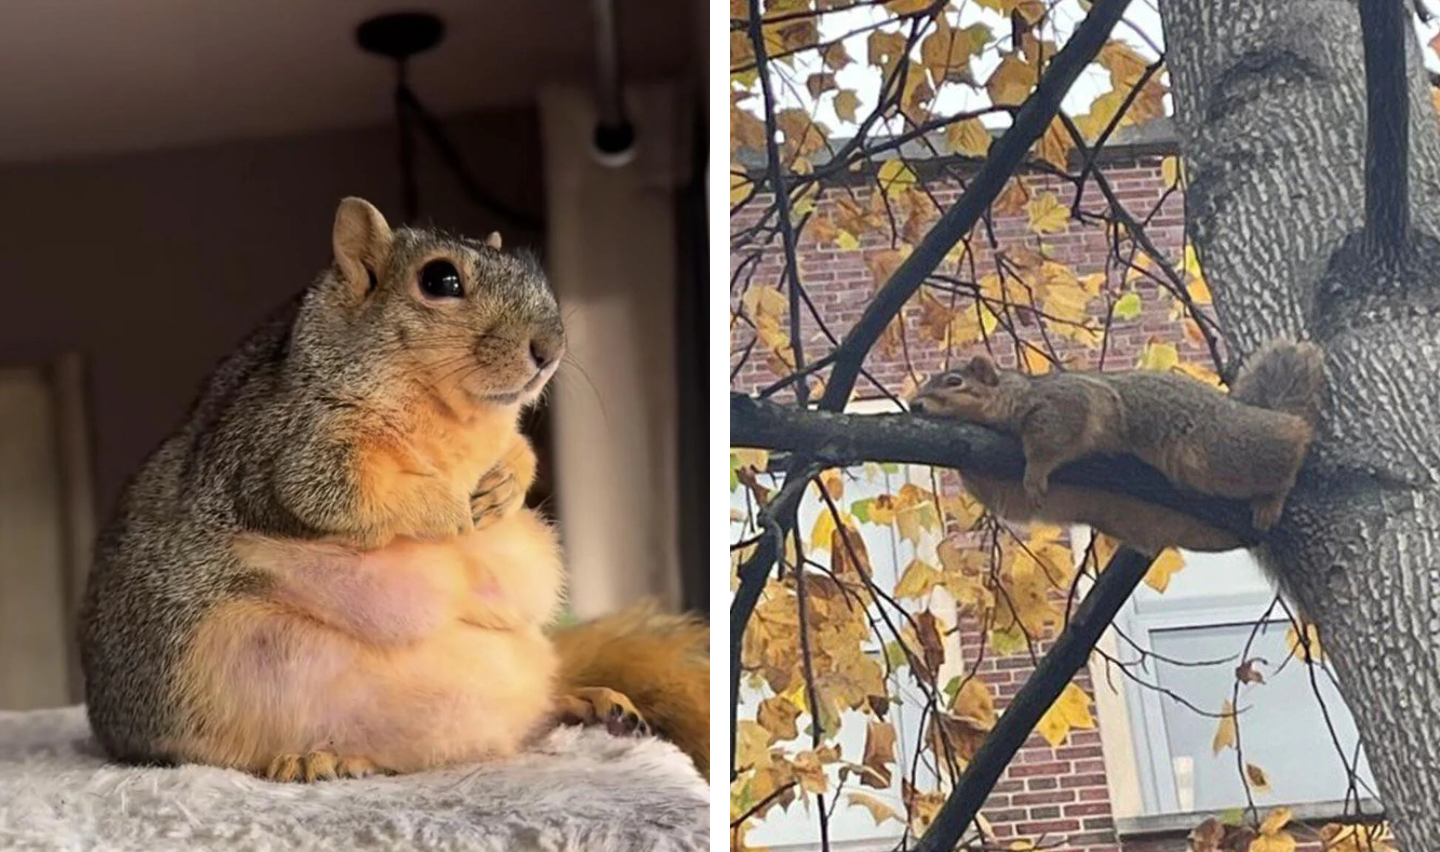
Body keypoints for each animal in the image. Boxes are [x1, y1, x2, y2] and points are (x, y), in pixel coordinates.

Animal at [80, 195, 708, 782]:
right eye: (440, 280)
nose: (549, 349)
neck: (453, 419)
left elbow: (521, 453)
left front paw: (504, 485)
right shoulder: (281, 449)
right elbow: (335, 494)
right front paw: (451, 510)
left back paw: (591, 702)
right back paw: (317, 759)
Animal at [915, 342, 1319, 555]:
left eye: (954, 381)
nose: (915, 405)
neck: (1017, 394)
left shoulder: (1065, 404)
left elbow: (1050, 444)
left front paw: (1035, 473)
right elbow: (1006, 496)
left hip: (1218, 450)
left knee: (1287, 441)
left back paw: (1274, 493)